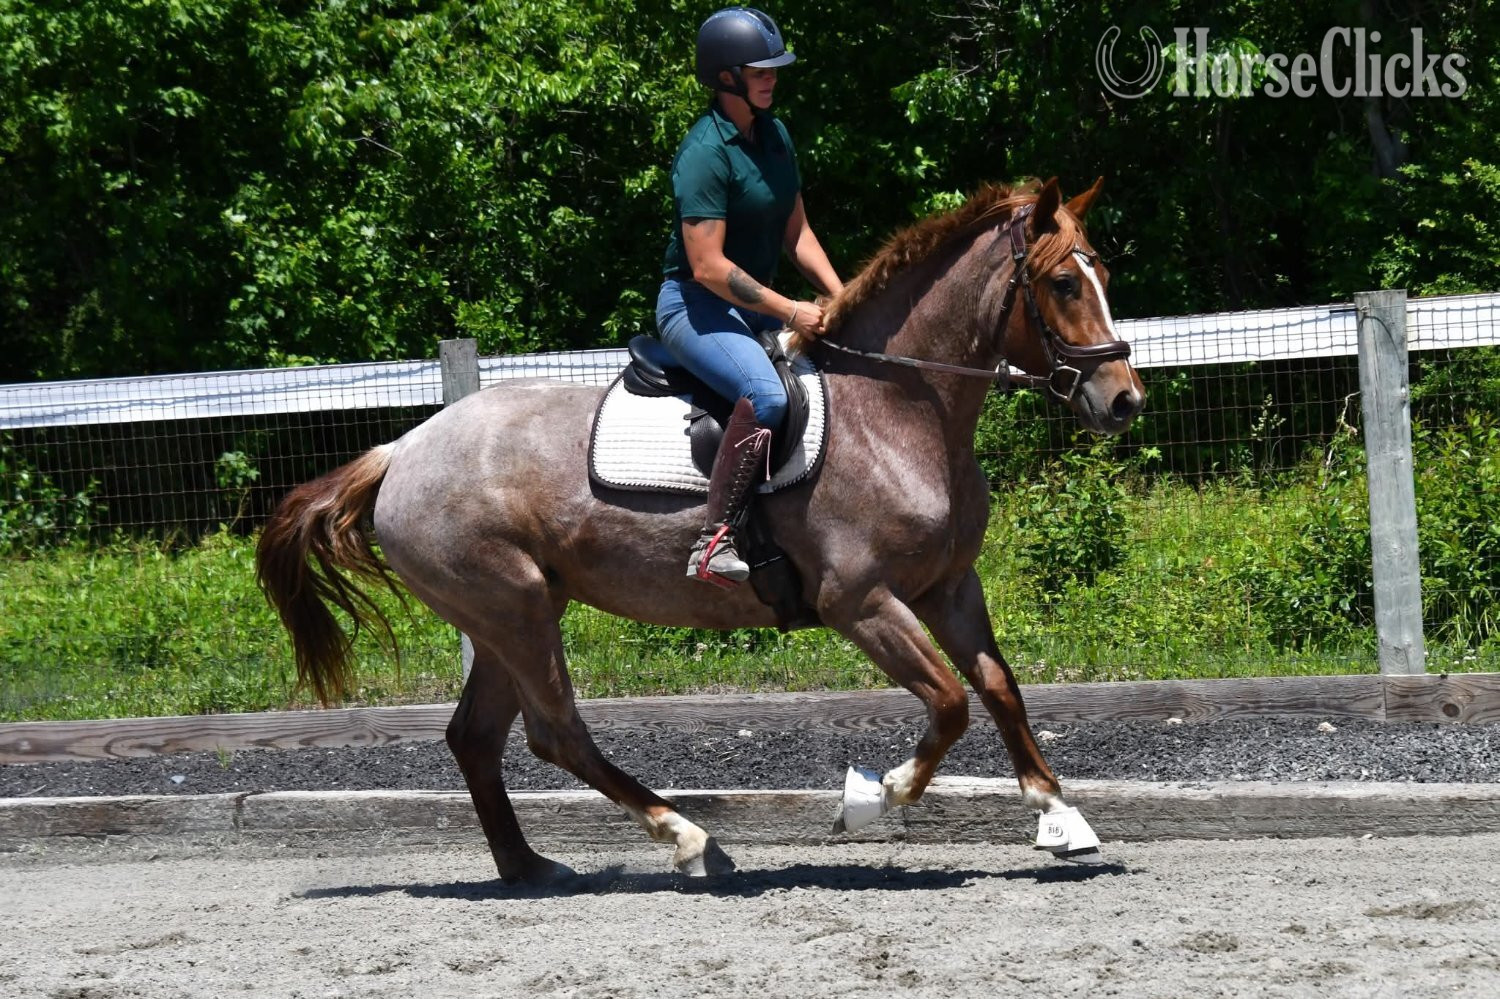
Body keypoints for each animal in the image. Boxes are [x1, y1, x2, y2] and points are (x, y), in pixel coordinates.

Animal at [256, 176, 1145, 882]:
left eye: (1102, 273)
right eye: (1063, 282)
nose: (1124, 400)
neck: (900, 409)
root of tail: (402, 450)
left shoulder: (949, 585)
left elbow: (999, 686)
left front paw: (1059, 814)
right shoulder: (860, 601)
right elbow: (951, 700)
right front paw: (873, 796)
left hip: (512, 612)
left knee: (477, 737)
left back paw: (530, 867)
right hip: (514, 608)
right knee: (555, 733)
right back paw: (688, 839)